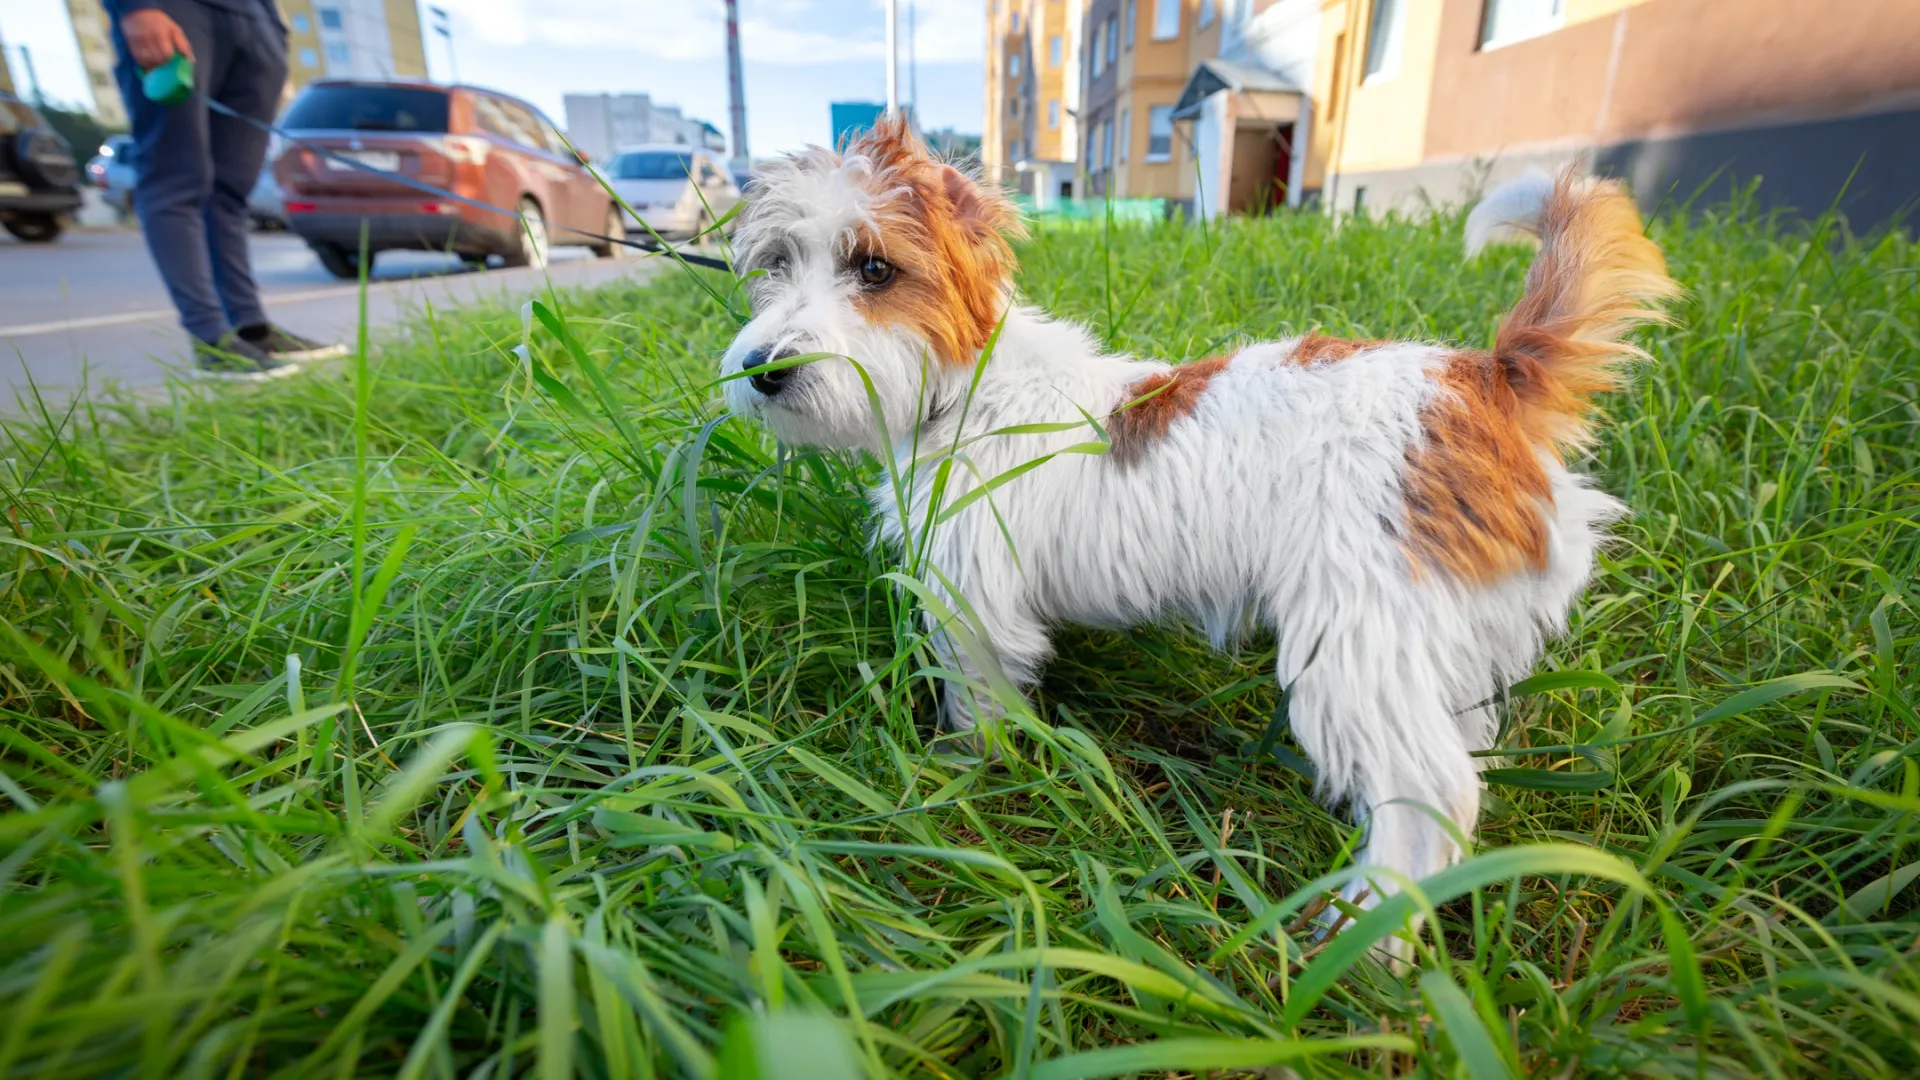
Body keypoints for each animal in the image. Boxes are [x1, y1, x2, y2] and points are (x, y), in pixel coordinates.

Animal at [721, 115, 1681, 907]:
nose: (764, 370)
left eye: (875, 268)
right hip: (1438, 645)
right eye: (776, 265)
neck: (970, 386)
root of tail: (1485, 378)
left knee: (1430, 795)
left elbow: (978, 706)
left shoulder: (977, 612)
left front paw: (969, 781)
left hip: (1357, 644)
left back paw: (1368, 936)